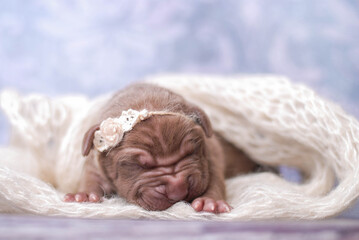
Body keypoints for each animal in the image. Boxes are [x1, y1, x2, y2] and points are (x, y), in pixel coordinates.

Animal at [63, 83, 258, 214]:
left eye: (191, 151)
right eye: (137, 165)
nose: (178, 187)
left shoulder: (212, 150)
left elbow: (214, 176)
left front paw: (211, 201)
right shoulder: (95, 162)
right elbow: (91, 177)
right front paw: (85, 194)